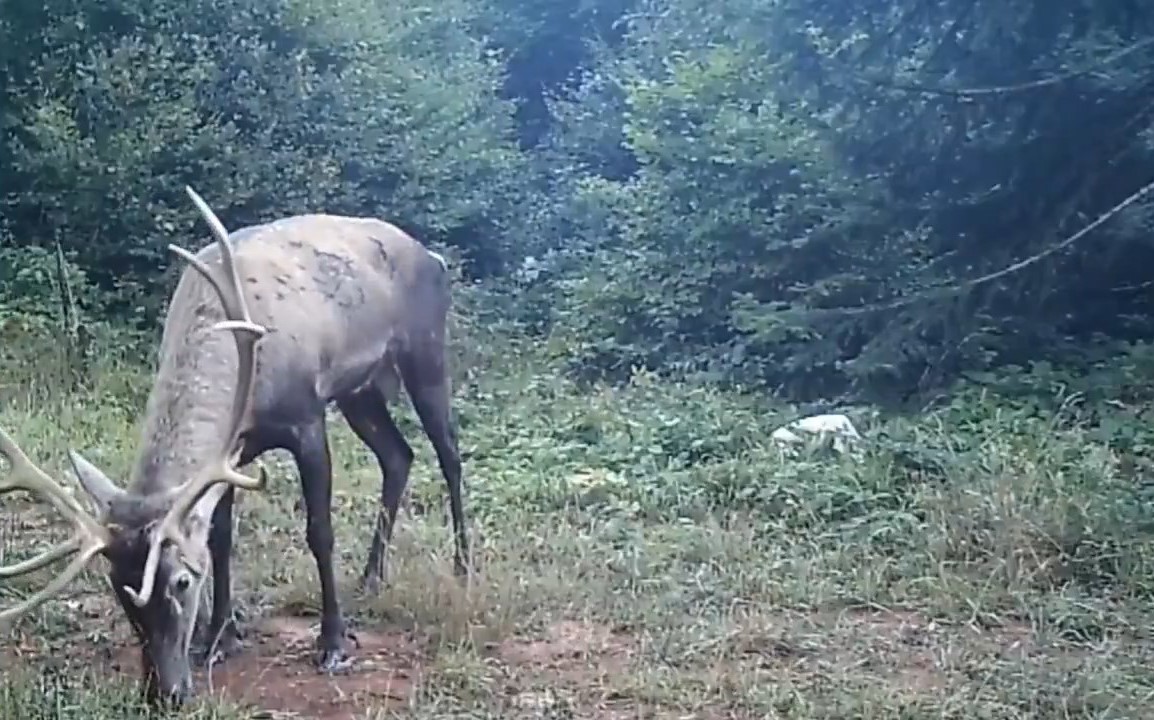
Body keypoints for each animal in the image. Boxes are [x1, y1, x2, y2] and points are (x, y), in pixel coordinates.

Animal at [1, 188, 468, 706]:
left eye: (182, 581)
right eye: (117, 587)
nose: (163, 692)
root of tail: (432, 257)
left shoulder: (306, 418)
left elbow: (319, 532)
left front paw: (332, 644)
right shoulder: (232, 452)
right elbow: (221, 536)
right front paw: (220, 637)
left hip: (425, 350)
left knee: (449, 454)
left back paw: (462, 566)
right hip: (359, 392)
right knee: (398, 456)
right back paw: (371, 577)